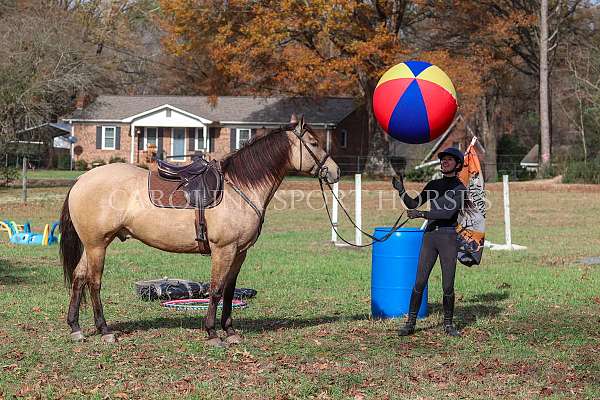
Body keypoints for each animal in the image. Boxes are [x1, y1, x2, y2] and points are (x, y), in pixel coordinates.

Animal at [61, 116, 342, 346]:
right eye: (314, 143)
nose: (336, 171)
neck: (240, 188)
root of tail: (82, 180)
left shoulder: (239, 252)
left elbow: (228, 289)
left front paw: (230, 332)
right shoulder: (223, 250)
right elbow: (216, 289)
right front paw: (212, 333)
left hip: (92, 245)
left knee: (78, 278)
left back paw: (76, 328)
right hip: (98, 245)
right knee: (94, 283)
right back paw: (104, 330)